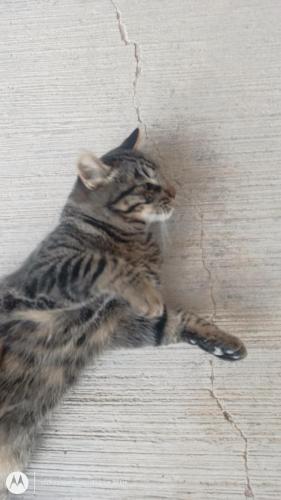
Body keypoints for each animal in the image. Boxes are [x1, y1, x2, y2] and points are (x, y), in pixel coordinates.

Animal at [0, 129, 245, 496]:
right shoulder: (44, 278)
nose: (175, 191)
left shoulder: (119, 325)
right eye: (147, 186)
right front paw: (142, 289)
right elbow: (100, 263)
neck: (134, 241)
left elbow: (176, 321)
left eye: (162, 176)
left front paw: (223, 342)